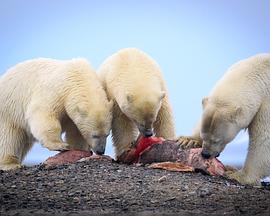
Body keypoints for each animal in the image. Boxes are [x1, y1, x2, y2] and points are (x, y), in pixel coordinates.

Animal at [177, 54, 270, 186]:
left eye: (217, 140)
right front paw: (188, 140)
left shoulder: (266, 105)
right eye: (203, 135)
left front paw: (237, 174)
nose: (205, 154)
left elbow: (264, 139)